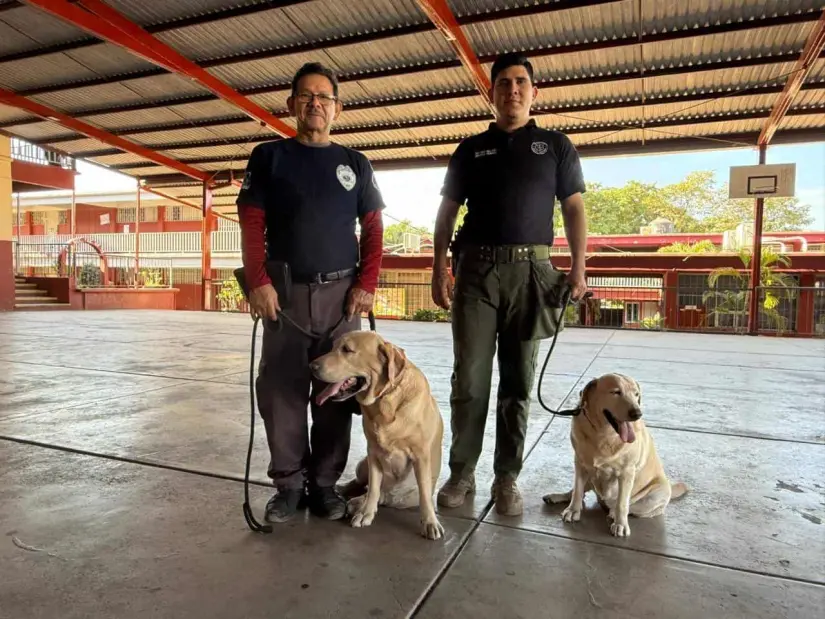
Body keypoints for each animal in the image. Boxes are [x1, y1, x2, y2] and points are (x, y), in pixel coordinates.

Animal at [308, 332, 440, 540]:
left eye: (347, 350)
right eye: (333, 347)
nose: (311, 366)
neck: (385, 400)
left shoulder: (421, 456)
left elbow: (425, 494)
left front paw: (430, 522)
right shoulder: (373, 453)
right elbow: (374, 488)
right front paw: (365, 513)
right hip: (363, 464)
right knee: (365, 485)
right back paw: (347, 493)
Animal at [544, 372, 684, 536]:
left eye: (636, 394)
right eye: (616, 392)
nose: (637, 413)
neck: (603, 435)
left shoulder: (627, 472)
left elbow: (622, 503)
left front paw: (621, 524)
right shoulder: (580, 463)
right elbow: (577, 490)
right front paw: (573, 510)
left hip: (658, 493)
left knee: (633, 507)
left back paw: (613, 514)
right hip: (591, 477)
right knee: (577, 491)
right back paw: (556, 497)